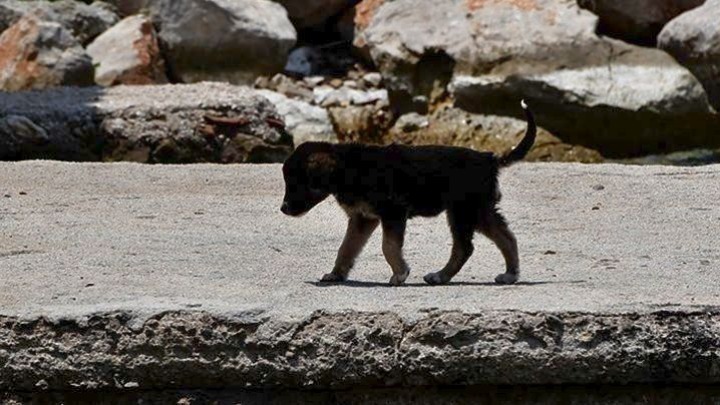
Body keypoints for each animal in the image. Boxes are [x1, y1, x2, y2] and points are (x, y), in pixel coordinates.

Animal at [282, 100, 536, 286]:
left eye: (296, 183)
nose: (283, 209)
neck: (347, 169)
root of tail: (490, 159)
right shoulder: (363, 218)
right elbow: (346, 248)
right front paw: (336, 275)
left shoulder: (393, 212)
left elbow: (388, 246)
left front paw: (399, 274)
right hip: (478, 210)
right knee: (506, 237)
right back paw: (509, 274)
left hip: (462, 210)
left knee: (465, 246)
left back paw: (440, 276)